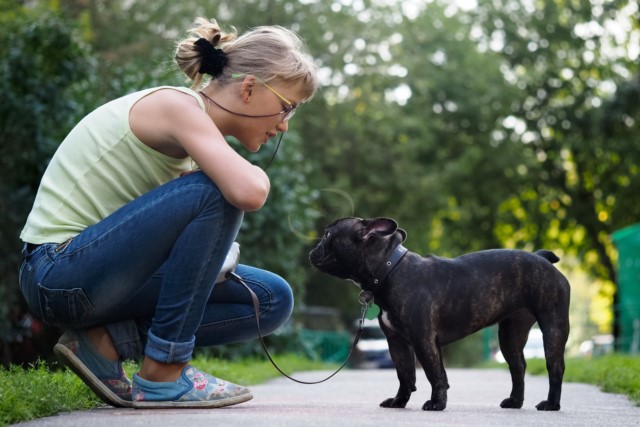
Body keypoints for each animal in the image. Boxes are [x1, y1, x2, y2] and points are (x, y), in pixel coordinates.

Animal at [310, 217, 568, 412]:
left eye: (327, 235)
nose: (312, 251)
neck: (389, 269)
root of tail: (541, 258)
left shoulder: (423, 340)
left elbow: (435, 374)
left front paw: (437, 403)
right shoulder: (397, 342)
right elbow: (405, 374)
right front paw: (399, 401)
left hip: (553, 327)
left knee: (555, 367)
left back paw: (551, 404)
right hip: (510, 335)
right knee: (518, 366)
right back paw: (515, 401)